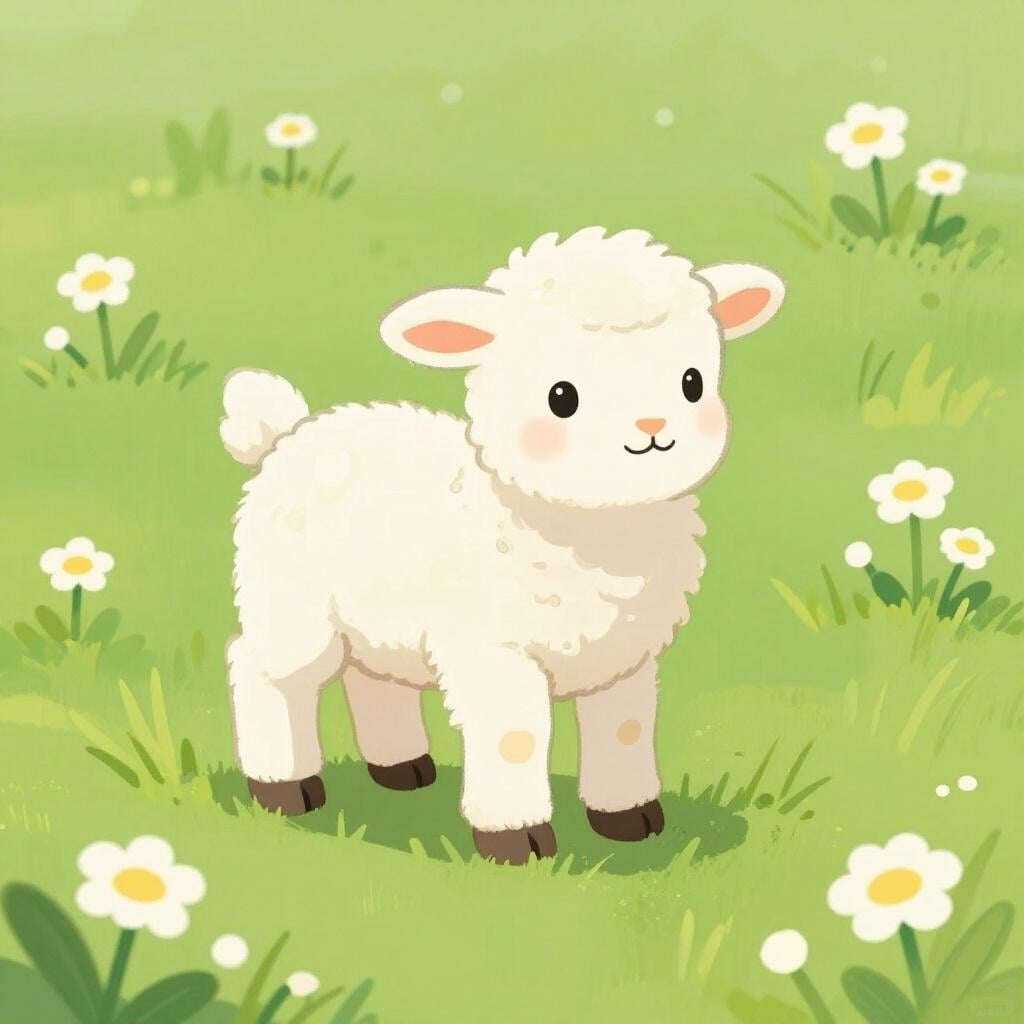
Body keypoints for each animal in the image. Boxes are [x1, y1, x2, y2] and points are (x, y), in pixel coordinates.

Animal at [221, 227, 784, 864]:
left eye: (693, 382)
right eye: (561, 396)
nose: (651, 429)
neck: (593, 533)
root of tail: (287, 435)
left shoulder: (624, 657)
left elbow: (626, 730)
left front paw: (631, 818)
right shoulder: (492, 649)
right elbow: (517, 735)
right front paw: (515, 839)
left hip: (377, 614)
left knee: (373, 677)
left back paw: (402, 768)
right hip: (291, 602)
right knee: (264, 670)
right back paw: (285, 787)